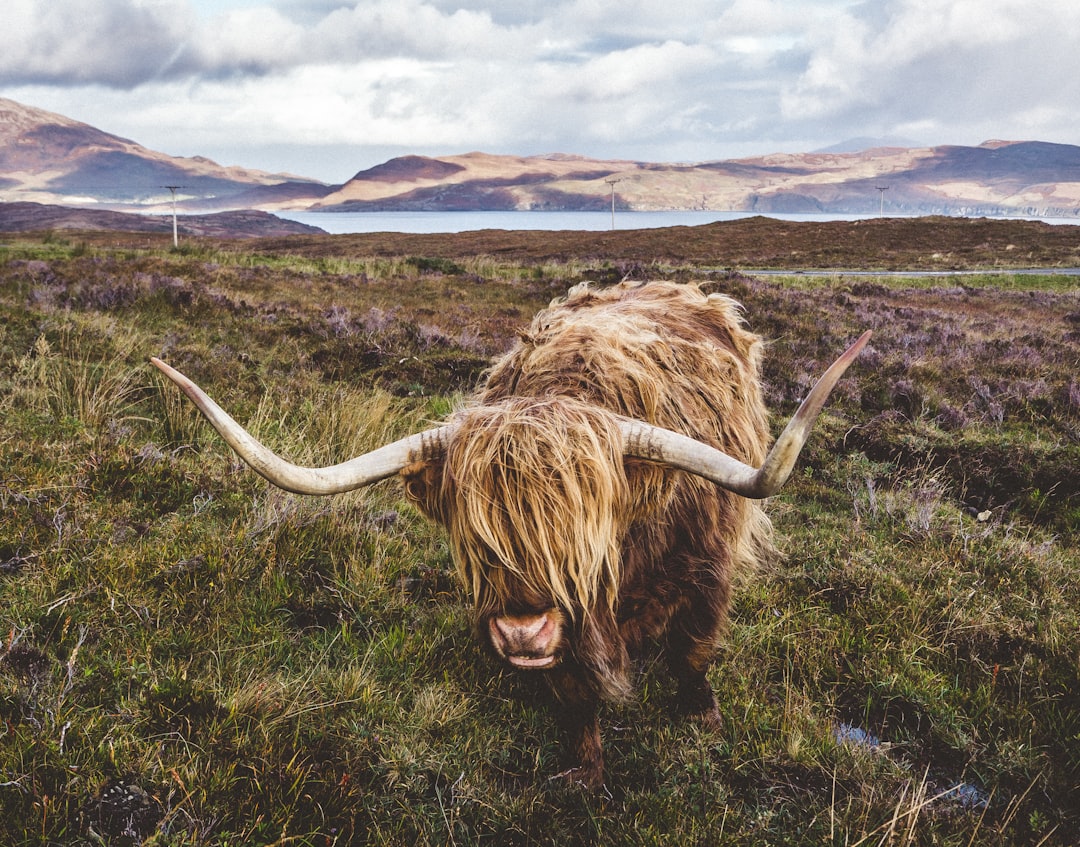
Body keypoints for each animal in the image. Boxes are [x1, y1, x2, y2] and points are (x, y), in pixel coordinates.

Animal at [154, 278, 868, 786]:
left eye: (579, 529)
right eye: (478, 536)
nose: (523, 631)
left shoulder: (707, 565)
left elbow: (694, 650)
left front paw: (704, 720)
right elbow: (575, 693)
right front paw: (583, 774)